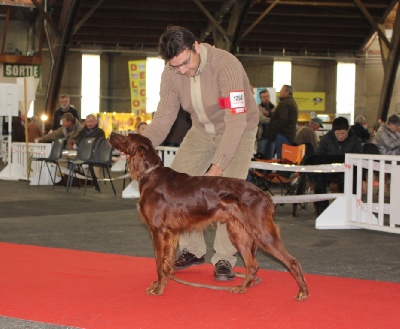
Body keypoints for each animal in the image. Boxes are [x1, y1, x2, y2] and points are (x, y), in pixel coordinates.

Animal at [109, 132, 310, 298]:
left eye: (126, 137)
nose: (110, 134)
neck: (150, 175)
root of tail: (265, 195)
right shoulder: (171, 233)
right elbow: (166, 263)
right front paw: (162, 282)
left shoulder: (158, 230)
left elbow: (159, 263)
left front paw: (158, 289)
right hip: (239, 233)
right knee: (253, 265)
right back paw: (241, 288)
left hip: (262, 233)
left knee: (292, 261)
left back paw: (302, 291)